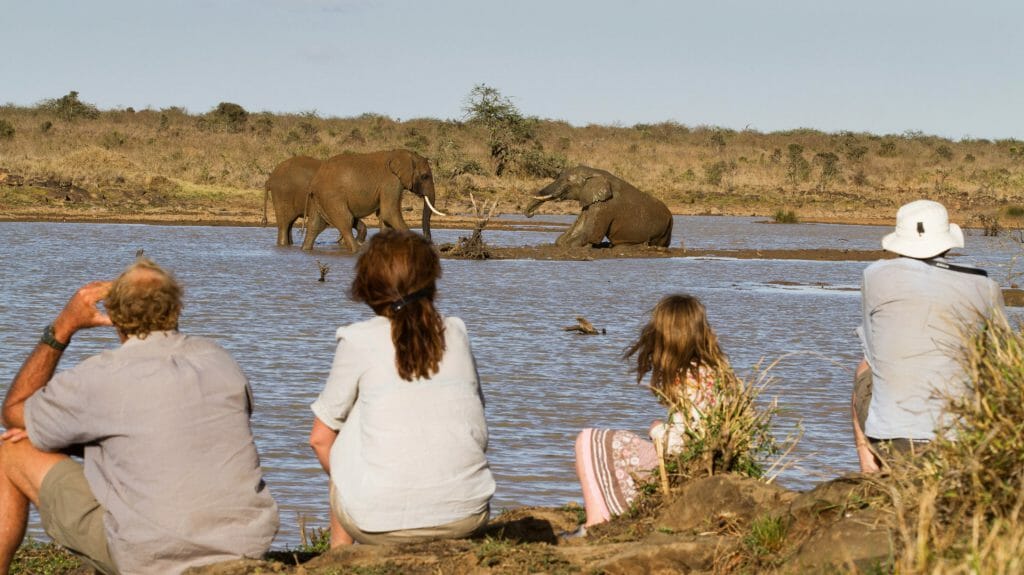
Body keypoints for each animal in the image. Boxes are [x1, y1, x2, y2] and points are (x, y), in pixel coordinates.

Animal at [302, 149, 445, 253]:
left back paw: (305, 249)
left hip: (319, 198)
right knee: (346, 222)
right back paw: (356, 251)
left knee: (314, 226)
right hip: (332, 197)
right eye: (425, 176)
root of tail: (314, 181)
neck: (404, 155)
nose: (430, 243)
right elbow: (389, 214)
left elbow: (384, 217)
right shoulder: (391, 182)